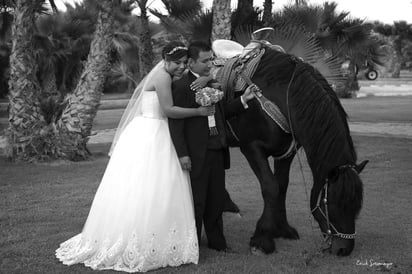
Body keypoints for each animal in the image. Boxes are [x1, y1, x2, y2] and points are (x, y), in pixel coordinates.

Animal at [220, 44, 368, 256]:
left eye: (356, 206)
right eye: (332, 204)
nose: (344, 249)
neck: (281, 95)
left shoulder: (286, 152)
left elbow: (282, 186)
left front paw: (282, 229)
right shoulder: (251, 147)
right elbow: (271, 187)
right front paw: (262, 238)